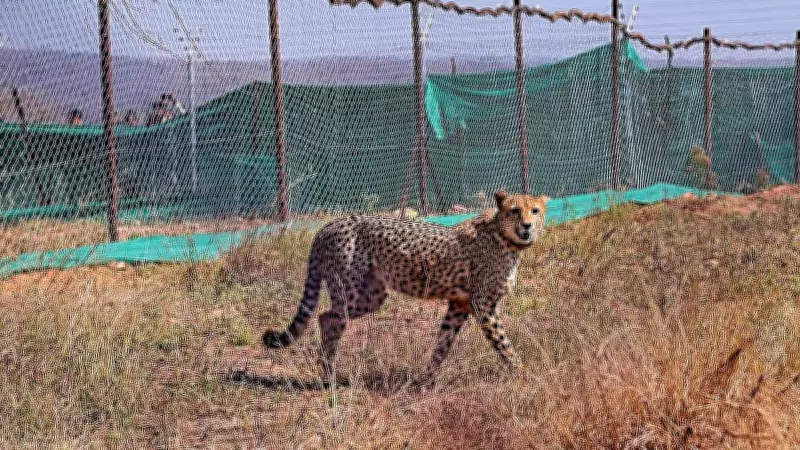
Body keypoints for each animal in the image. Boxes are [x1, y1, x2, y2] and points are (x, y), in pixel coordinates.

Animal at [262, 190, 550, 381]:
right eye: (515, 210)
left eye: (535, 211)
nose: (527, 225)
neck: (505, 237)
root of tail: (330, 224)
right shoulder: (483, 306)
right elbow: (503, 343)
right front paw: (523, 373)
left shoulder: (459, 304)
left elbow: (443, 343)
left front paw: (426, 378)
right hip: (350, 291)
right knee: (330, 318)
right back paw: (331, 375)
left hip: (372, 296)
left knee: (326, 316)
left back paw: (329, 372)